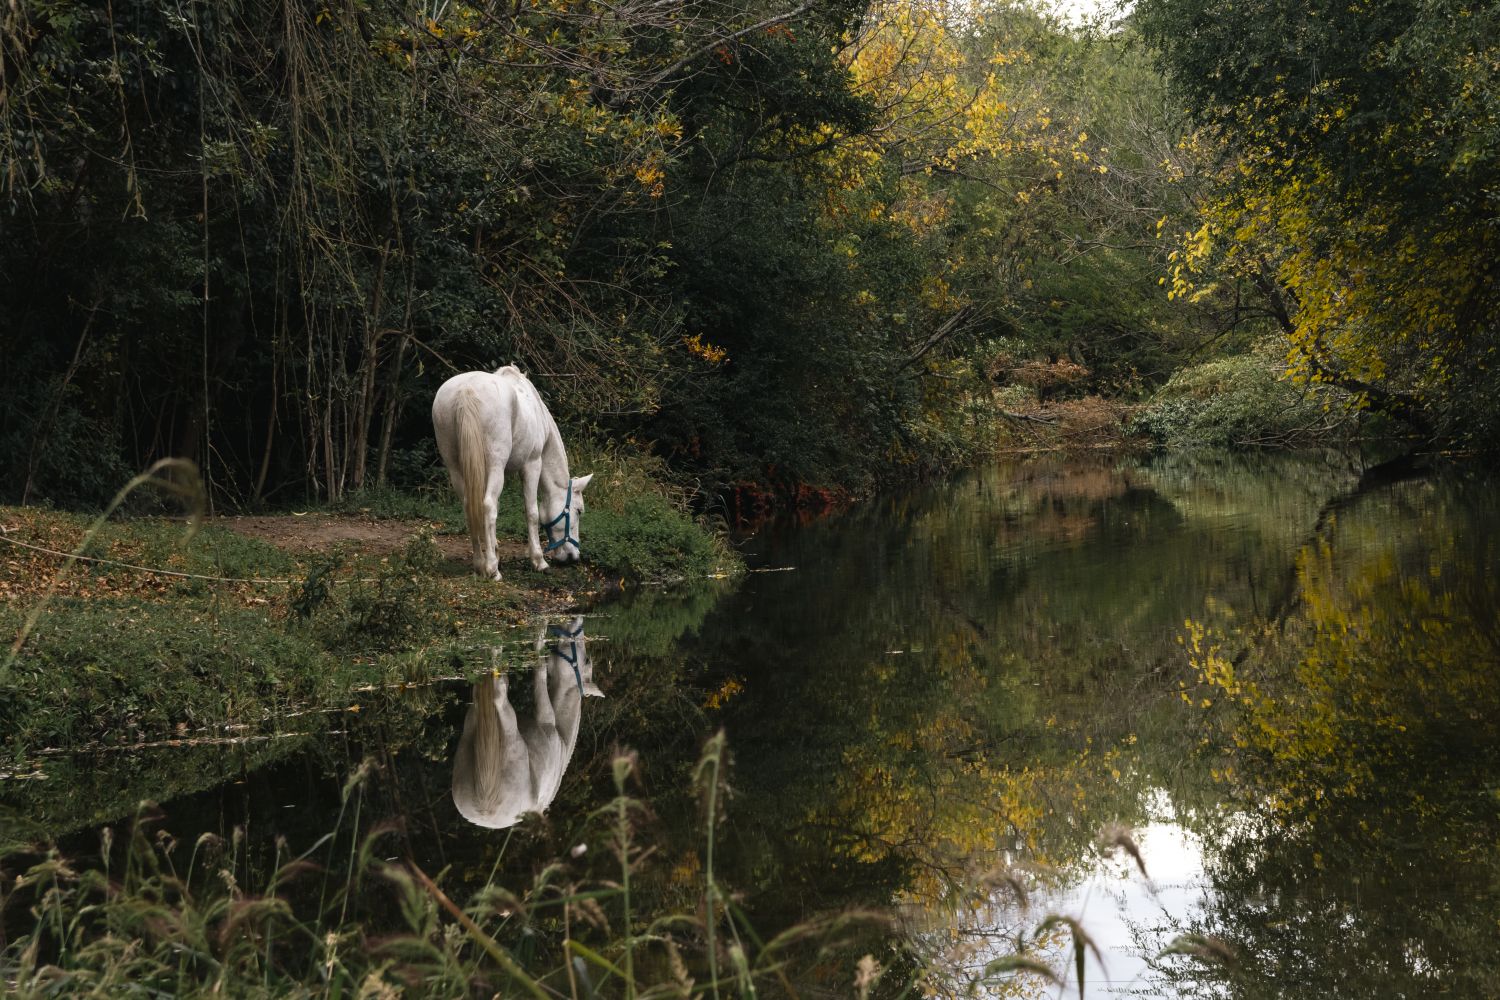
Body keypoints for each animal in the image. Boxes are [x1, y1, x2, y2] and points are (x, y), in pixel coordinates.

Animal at [432, 366, 592, 580]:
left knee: (470, 508)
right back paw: (492, 570)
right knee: (488, 506)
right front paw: (538, 561)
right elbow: (532, 512)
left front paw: (495, 551)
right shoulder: (532, 465)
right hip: (495, 465)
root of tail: (466, 390)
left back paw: (480, 564)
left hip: (456, 469)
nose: (573, 557)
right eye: (579, 511)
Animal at [451, 617, 604, 829]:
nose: (577, 619)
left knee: (496, 694)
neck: (561, 741)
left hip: (504, 729)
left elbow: (540, 668)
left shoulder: (544, 715)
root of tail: (484, 807)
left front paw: (539, 633)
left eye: (586, 660)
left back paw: (495, 648)